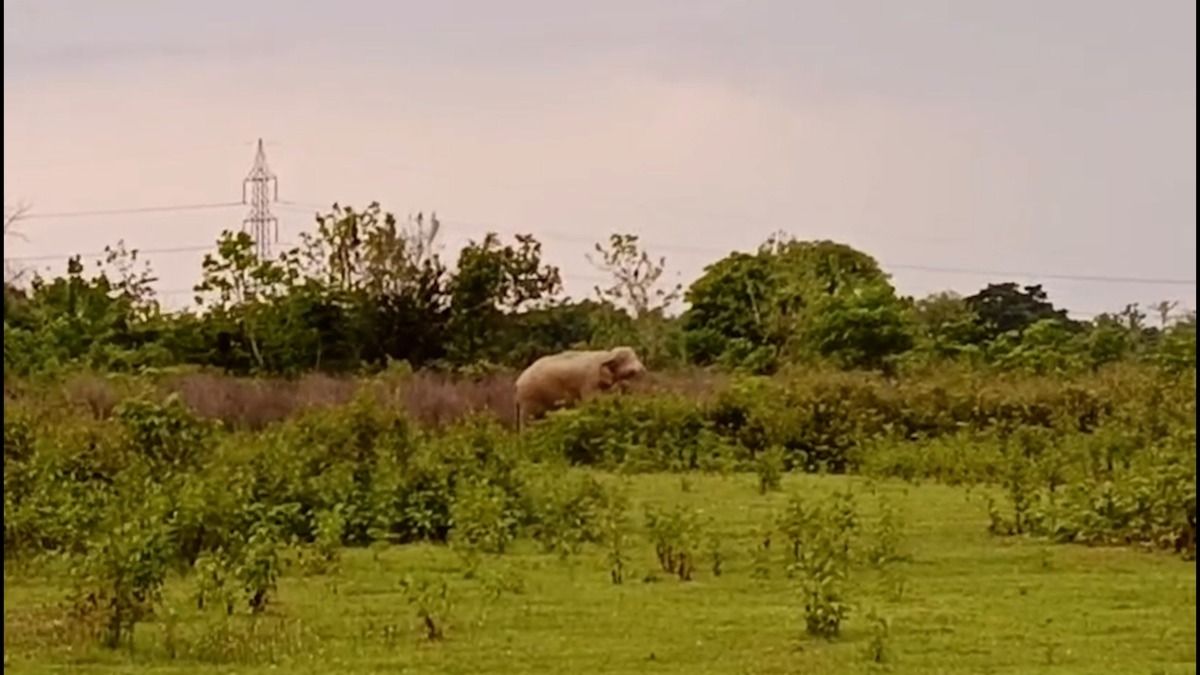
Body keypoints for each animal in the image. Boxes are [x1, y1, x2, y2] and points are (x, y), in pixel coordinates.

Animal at [514, 346, 646, 431]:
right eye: (624, 358)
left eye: (635, 355)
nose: (642, 369)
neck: (607, 354)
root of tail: (517, 383)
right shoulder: (589, 380)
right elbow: (592, 402)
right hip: (529, 397)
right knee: (529, 420)